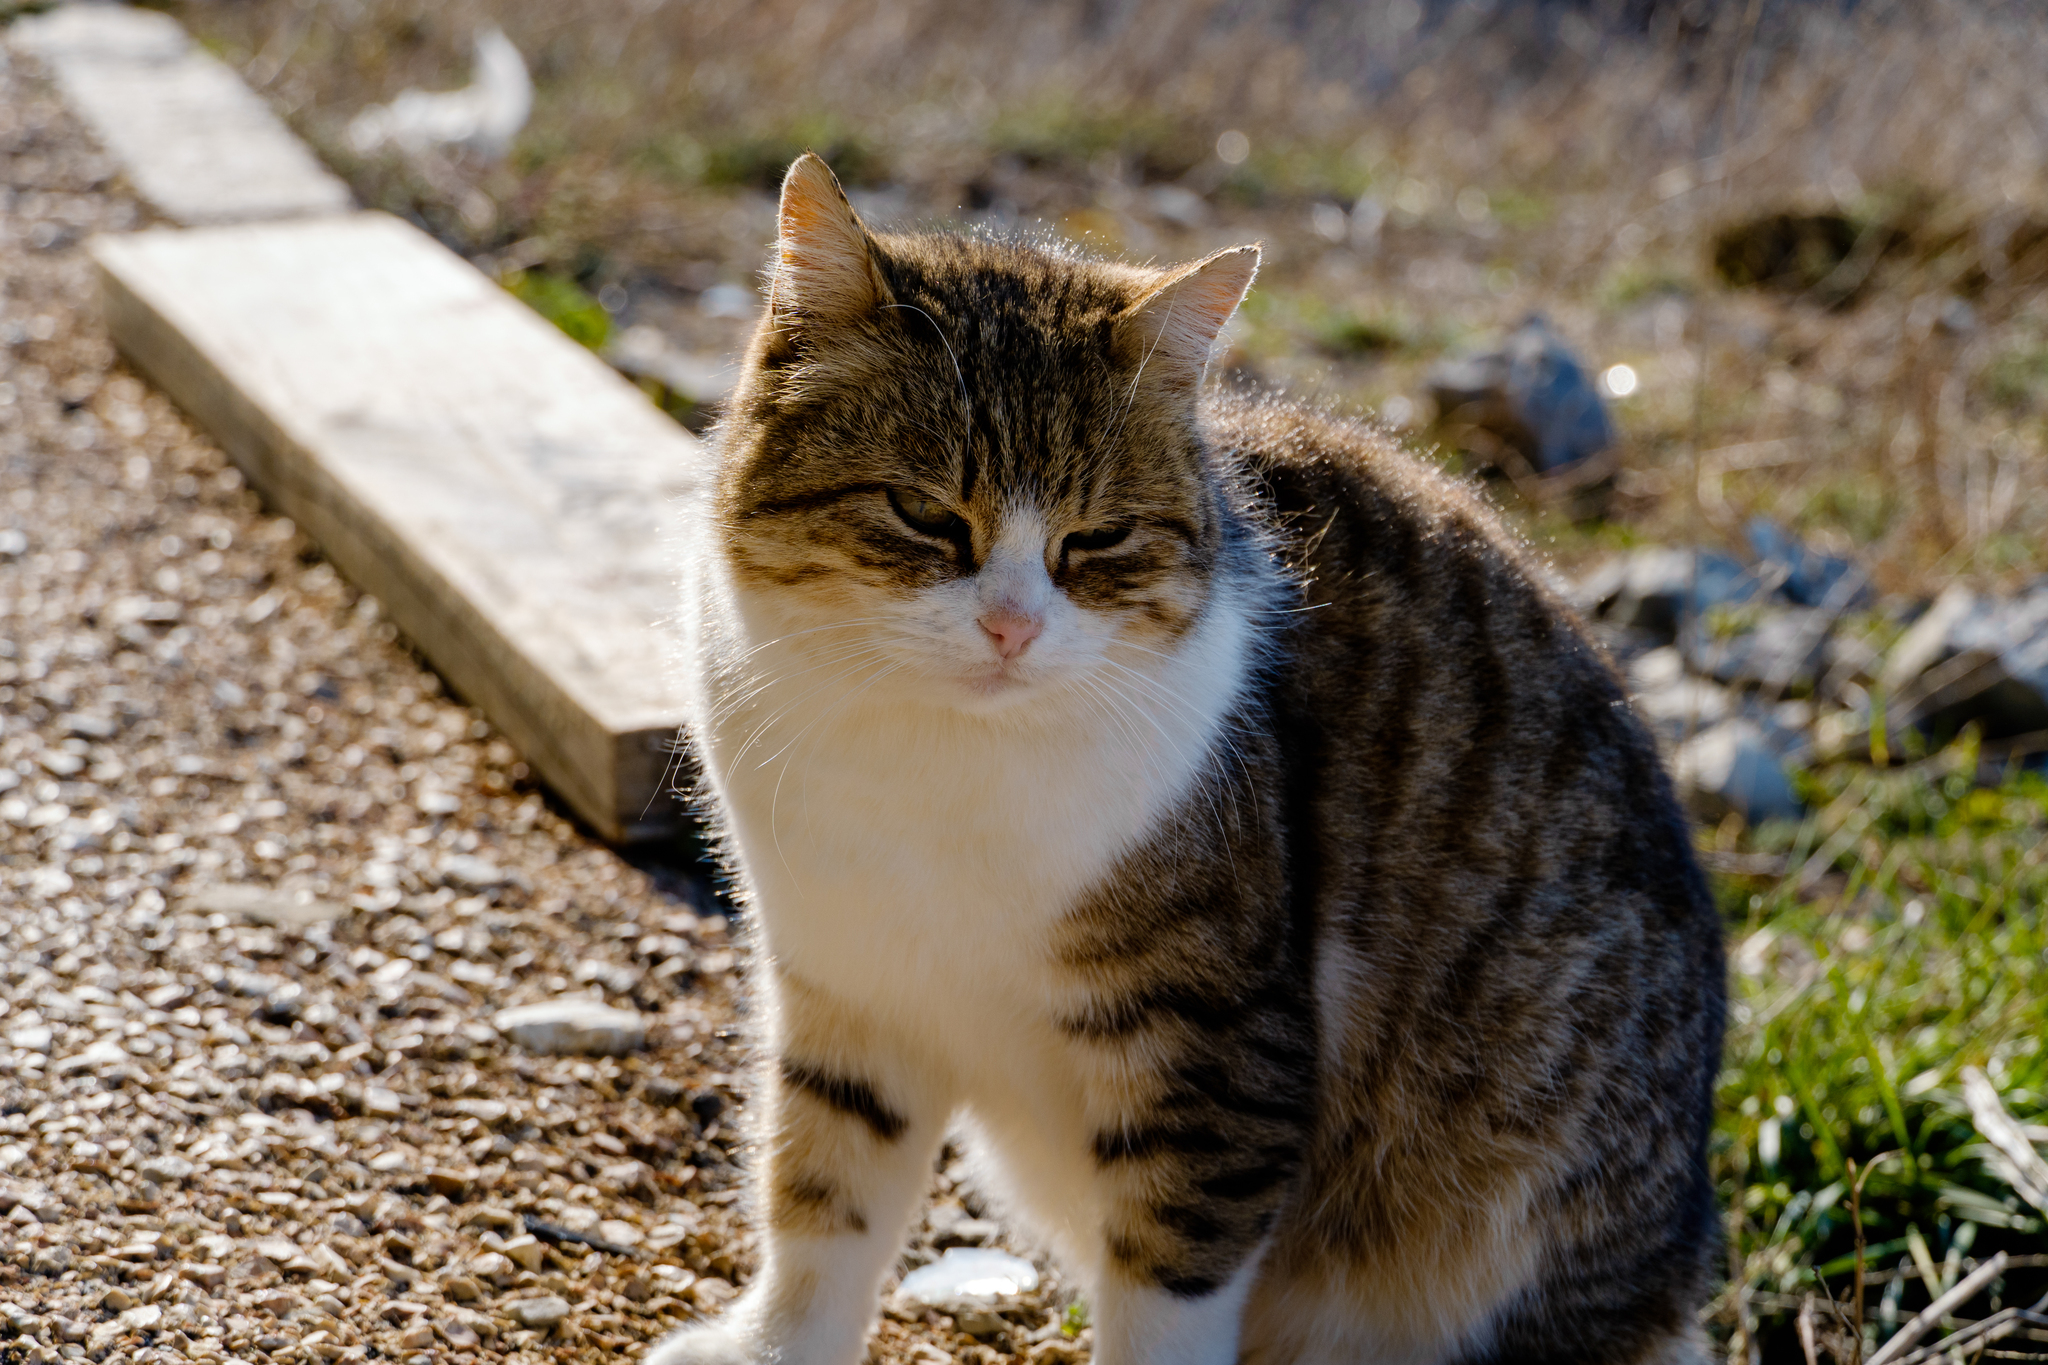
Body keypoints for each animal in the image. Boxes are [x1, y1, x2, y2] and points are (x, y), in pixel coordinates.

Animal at [651, 154, 1712, 1365]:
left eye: (1097, 538)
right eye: (923, 512)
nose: (1011, 627)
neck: (939, 765)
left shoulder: (1218, 1045)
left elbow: (1171, 1274)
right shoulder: (850, 985)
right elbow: (823, 1193)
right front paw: (778, 1344)